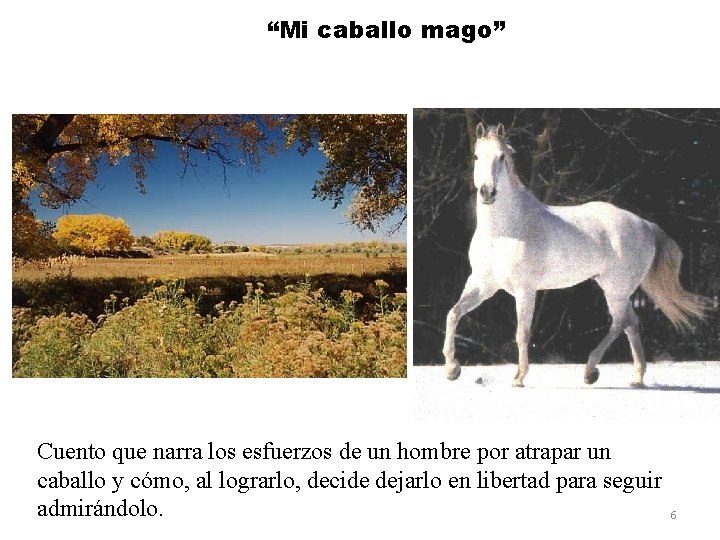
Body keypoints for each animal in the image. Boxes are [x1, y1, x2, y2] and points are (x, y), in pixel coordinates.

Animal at [443, 122, 709, 387]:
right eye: (477, 156)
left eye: (502, 157)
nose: (488, 192)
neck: (503, 232)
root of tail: (645, 225)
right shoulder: (483, 285)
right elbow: (453, 313)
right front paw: (452, 369)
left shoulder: (525, 290)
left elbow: (522, 333)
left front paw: (519, 377)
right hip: (617, 290)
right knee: (631, 323)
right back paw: (636, 377)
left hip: (615, 289)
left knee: (620, 322)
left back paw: (590, 371)